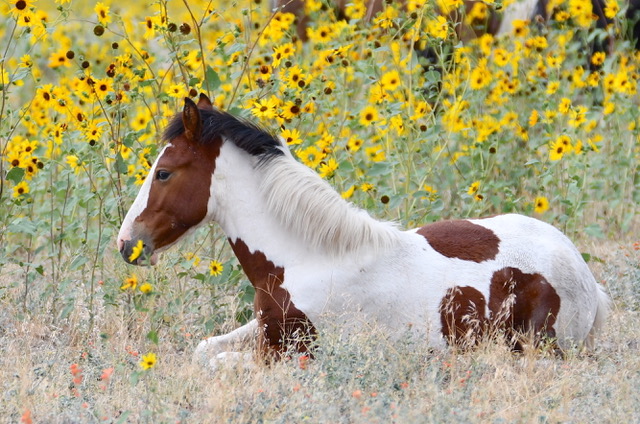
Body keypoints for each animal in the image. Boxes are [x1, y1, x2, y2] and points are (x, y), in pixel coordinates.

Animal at [117, 94, 609, 369]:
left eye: (163, 172)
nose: (127, 244)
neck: (307, 259)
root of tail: (584, 274)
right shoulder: (262, 330)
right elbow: (203, 350)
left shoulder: (292, 353)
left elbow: (218, 362)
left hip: (534, 347)